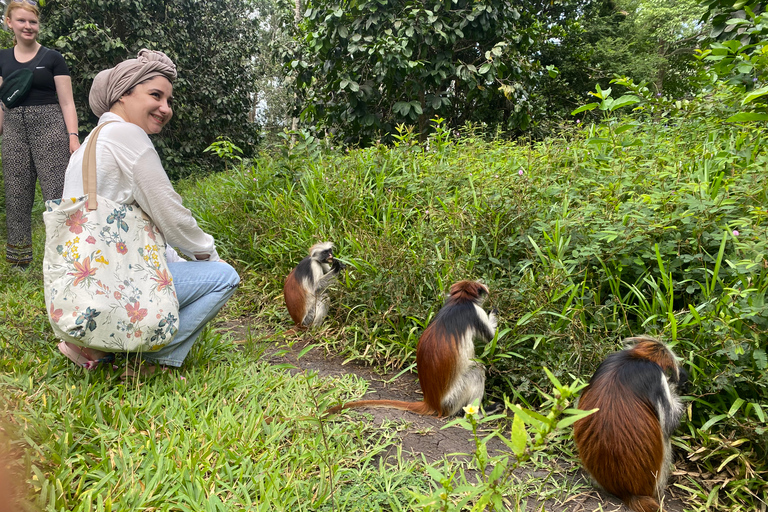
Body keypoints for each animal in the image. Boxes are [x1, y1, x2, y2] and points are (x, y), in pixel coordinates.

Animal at [326, 282, 498, 418]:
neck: (459, 300)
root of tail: (432, 403)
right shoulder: (475, 312)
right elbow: (492, 339)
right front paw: (495, 312)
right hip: (453, 399)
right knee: (477, 371)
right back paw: (478, 414)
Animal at [572, 336, 688, 512]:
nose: (678, 375)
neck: (632, 358)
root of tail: (626, 492)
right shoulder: (654, 374)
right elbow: (670, 423)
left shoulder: (608, 360)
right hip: (656, 481)